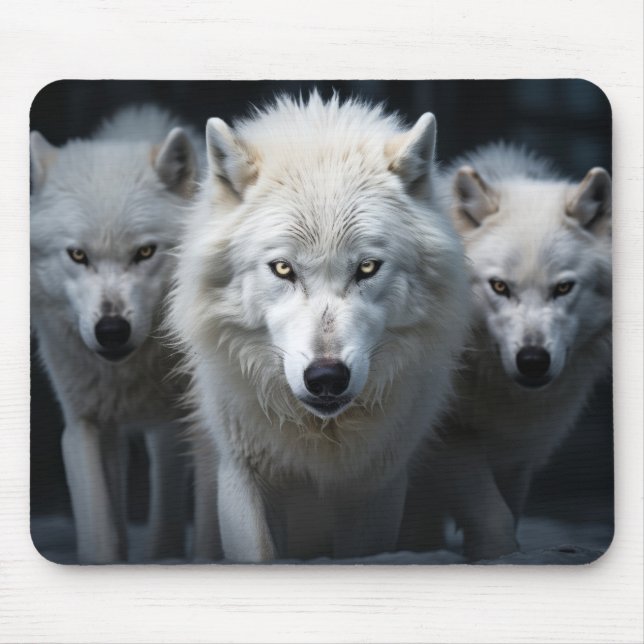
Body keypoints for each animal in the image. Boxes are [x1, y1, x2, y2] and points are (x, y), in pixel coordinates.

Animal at [30, 105, 200, 563]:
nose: (110, 330)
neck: (131, 373)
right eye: (77, 255)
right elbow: (102, 533)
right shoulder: (83, 426)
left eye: (145, 252)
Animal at [169, 92, 470, 562]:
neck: (321, 436)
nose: (326, 377)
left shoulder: (378, 488)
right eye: (282, 268)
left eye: (367, 267)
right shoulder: (241, 474)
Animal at [402, 143, 612, 561]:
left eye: (563, 288)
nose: (532, 361)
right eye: (499, 286)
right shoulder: (447, 438)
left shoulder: (516, 454)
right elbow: (492, 516)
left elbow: (508, 511)